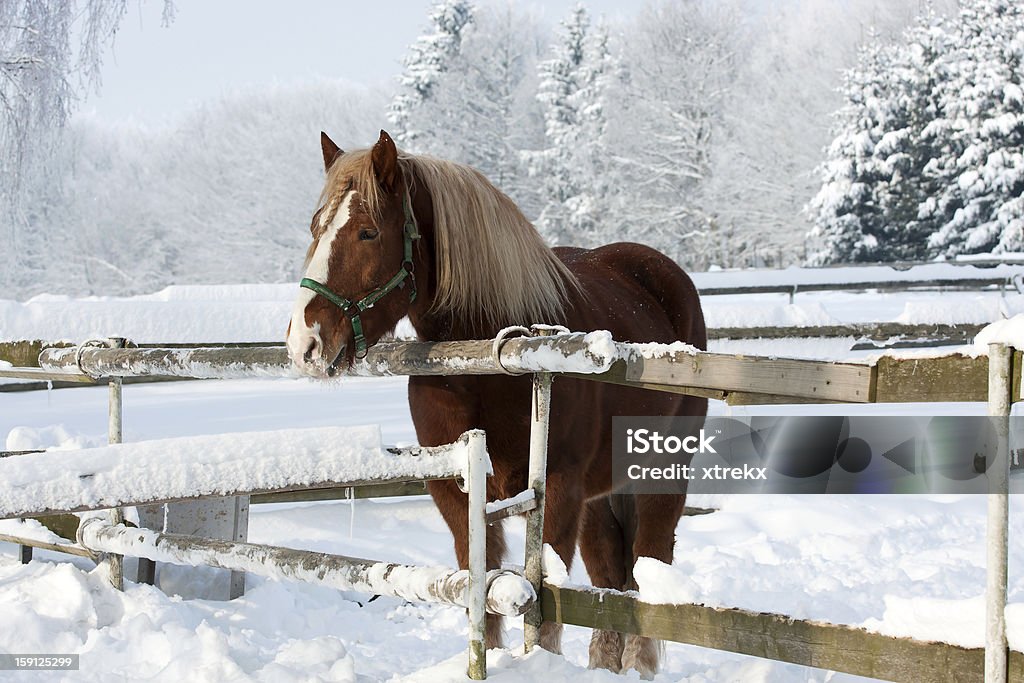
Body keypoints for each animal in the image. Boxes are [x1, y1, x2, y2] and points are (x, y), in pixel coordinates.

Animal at [284, 129, 708, 679]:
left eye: (368, 233)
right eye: (316, 227)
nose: (304, 344)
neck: (484, 362)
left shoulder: (557, 492)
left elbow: (545, 610)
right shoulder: (456, 491)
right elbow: (479, 595)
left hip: (661, 474)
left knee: (648, 566)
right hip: (599, 496)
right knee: (609, 576)